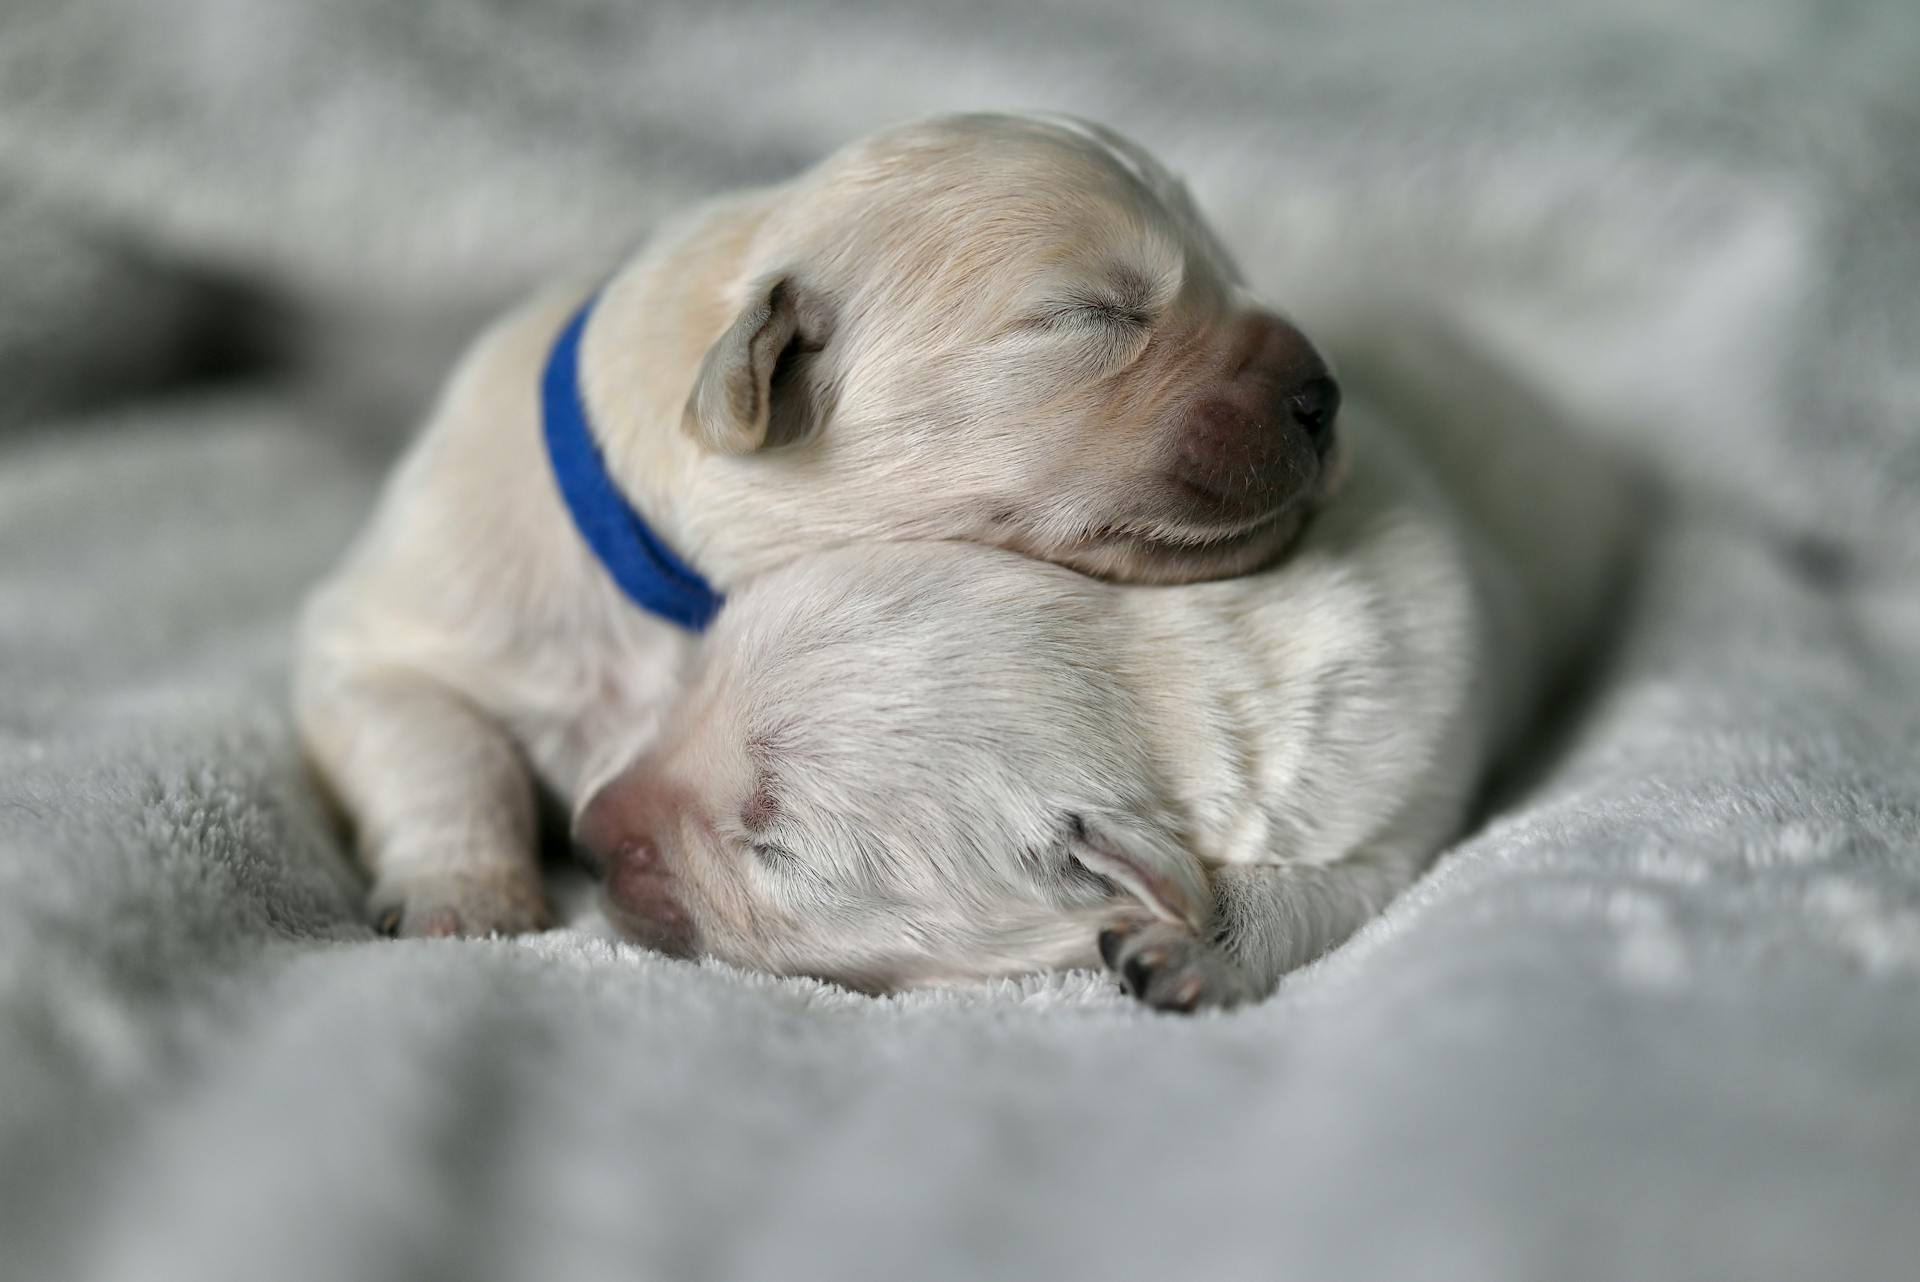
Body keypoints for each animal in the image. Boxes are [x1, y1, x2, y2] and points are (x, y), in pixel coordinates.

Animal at [576, 322, 1643, 1013]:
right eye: (692, 687)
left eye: (776, 849)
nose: (584, 838)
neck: (1166, 670)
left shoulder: (1397, 793)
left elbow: (1328, 891)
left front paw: (1194, 954)